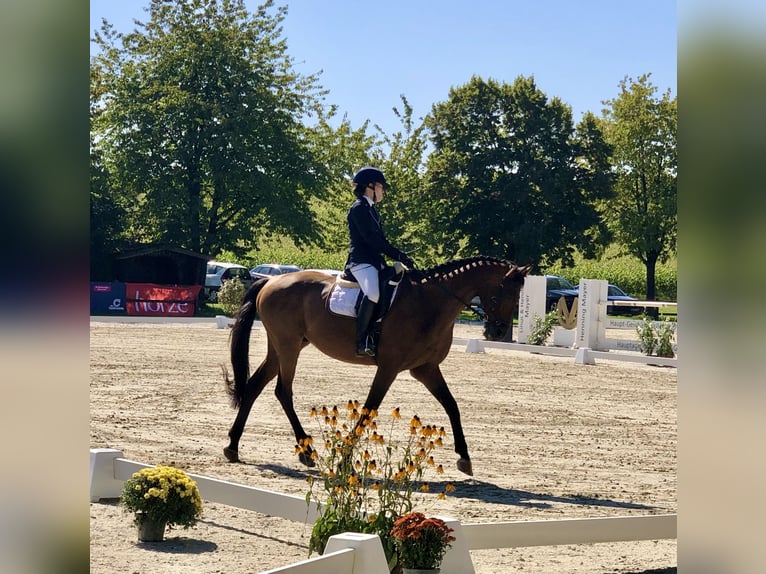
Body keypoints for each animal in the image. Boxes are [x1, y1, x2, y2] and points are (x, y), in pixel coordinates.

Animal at [225, 256, 532, 476]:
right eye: (505, 292)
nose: (497, 332)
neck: (431, 303)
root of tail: (270, 280)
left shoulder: (426, 368)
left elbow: (452, 405)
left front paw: (465, 457)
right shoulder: (389, 367)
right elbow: (369, 409)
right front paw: (345, 459)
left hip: (283, 347)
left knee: (254, 386)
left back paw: (233, 446)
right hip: (288, 346)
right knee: (283, 391)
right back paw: (305, 451)